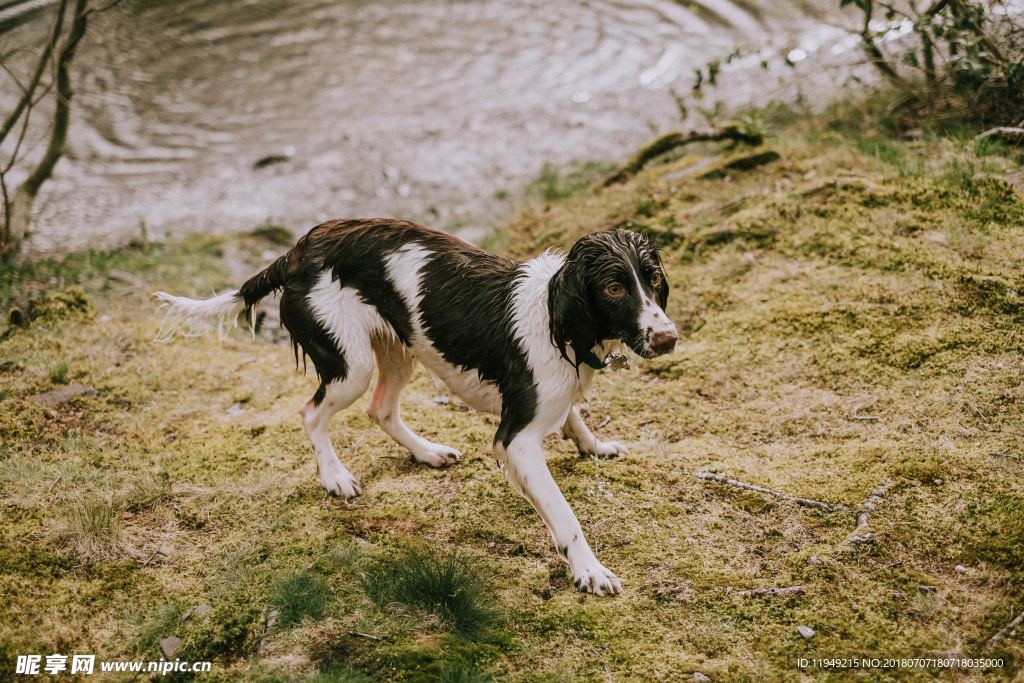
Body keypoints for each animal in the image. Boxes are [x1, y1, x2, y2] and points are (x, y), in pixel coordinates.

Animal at [155, 219, 675, 593]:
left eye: (652, 279)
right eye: (613, 288)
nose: (668, 339)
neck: (555, 318)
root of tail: (301, 248)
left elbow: (572, 419)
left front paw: (594, 446)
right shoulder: (516, 440)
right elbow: (565, 515)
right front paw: (589, 570)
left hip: (397, 350)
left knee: (380, 410)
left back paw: (427, 452)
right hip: (352, 364)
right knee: (311, 411)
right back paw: (335, 477)